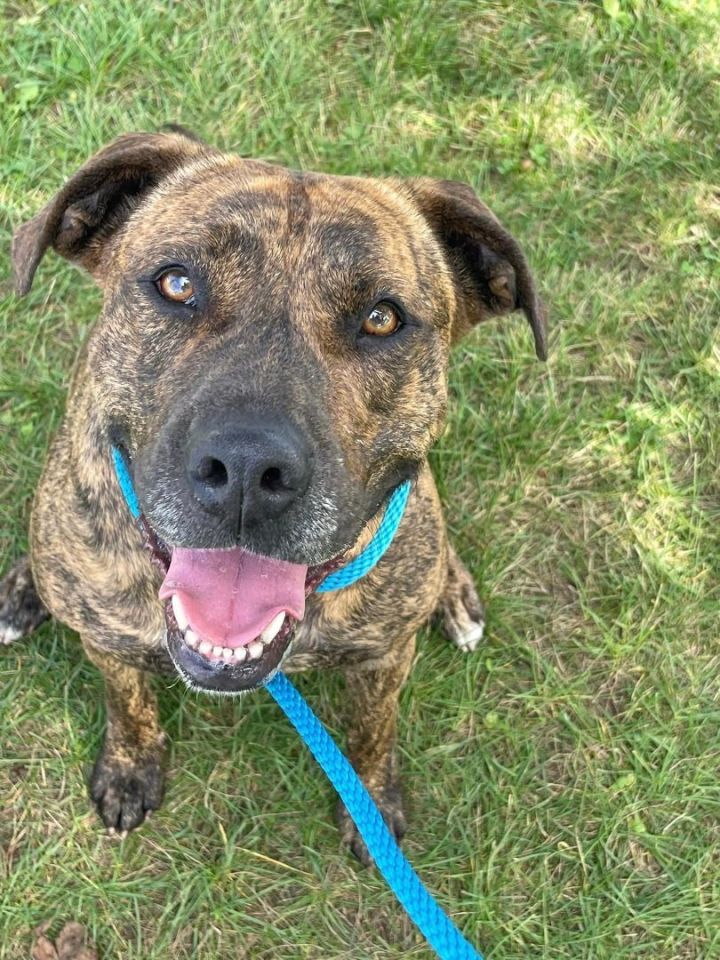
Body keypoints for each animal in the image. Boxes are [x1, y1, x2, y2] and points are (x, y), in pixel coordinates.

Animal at [0, 129, 544, 864]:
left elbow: (374, 728)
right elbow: (126, 701)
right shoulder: (108, 641)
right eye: (177, 284)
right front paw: (130, 768)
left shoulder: (384, 657)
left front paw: (373, 801)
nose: (247, 468)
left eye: (381, 318)